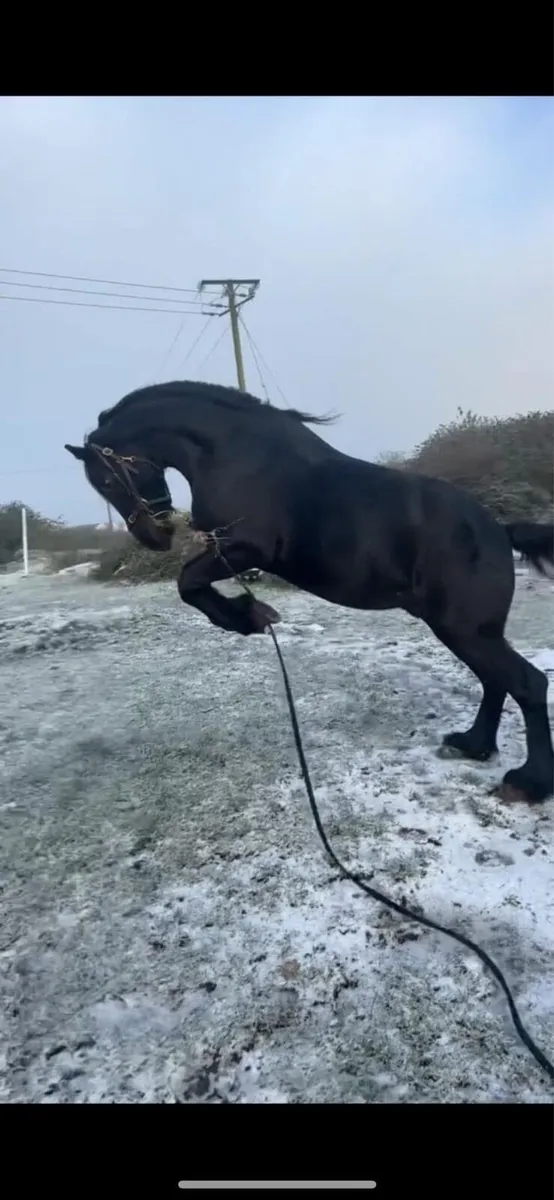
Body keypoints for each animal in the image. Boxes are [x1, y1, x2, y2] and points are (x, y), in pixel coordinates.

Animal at [65, 380, 554, 805]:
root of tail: (499, 531)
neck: (234, 454)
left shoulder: (245, 548)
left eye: (105, 481)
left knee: (527, 683)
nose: (154, 538)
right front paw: (249, 614)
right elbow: (192, 586)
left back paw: (529, 781)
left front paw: (251, 617)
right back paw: (473, 745)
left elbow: (188, 584)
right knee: (496, 681)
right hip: (468, 630)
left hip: (465, 628)